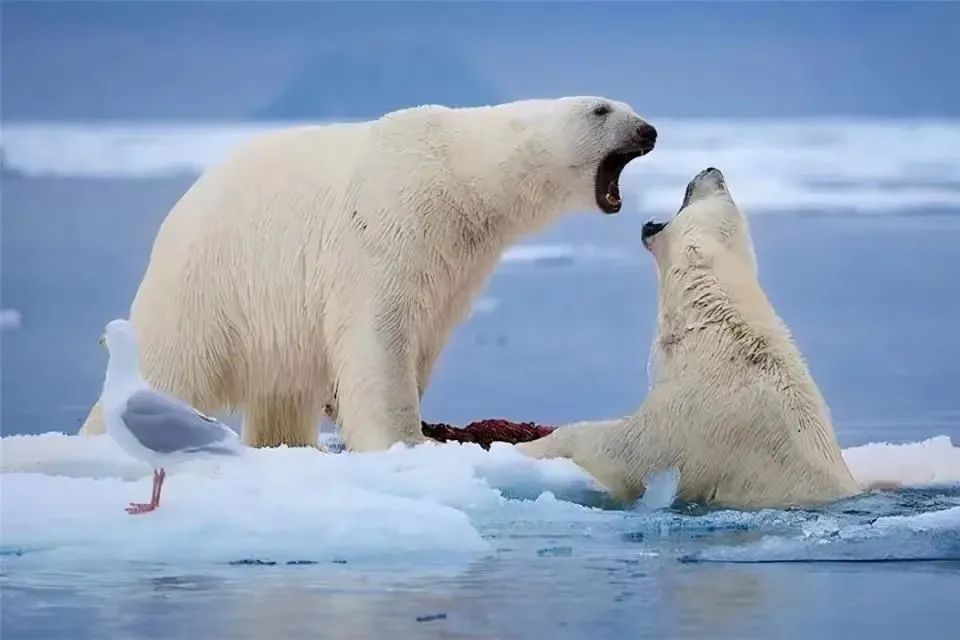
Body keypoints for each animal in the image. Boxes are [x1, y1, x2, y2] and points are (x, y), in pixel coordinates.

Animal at [80, 97, 660, 452]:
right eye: (601, 108)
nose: (650, 129)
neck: (459, 174)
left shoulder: (456, 262)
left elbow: (425, 336)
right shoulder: (393, 222)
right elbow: (379, 333)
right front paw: (406, 439)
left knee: (282, 392)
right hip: (208, 281)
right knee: (170, 365)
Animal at [520, 168, 860, 508]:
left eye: (721, 193)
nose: (712, 170)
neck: (713, 328)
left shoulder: (691, 416)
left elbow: (627, 450)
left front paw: (530, 446)